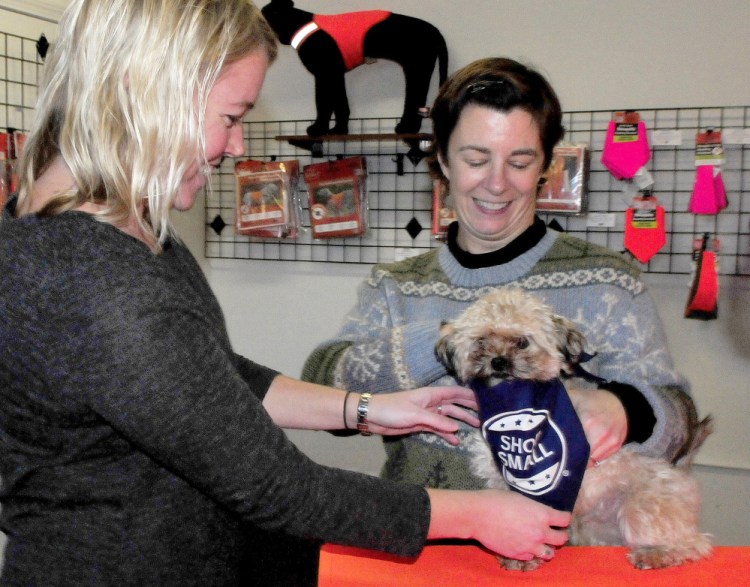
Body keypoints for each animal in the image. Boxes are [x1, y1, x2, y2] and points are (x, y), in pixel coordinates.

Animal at [438, 290, 712, 576]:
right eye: (481, 340)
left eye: (522, 342)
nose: (498, 361)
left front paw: (525, 558)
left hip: (642, 505)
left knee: (694, 543)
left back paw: (657, 553)